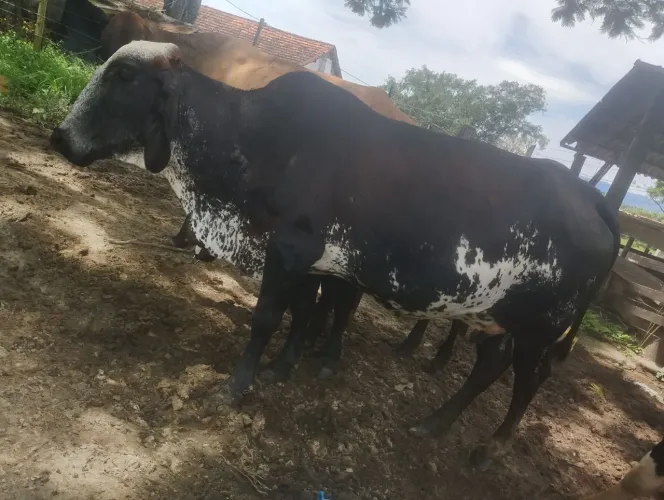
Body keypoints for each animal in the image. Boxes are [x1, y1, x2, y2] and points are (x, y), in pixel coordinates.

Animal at [50, 41, 621, 469]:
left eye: (123, 75)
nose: (59, 136)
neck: (254, 140)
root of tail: (590, 196)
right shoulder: (313, 262)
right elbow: (305, 311)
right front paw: (284, 368)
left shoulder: (289, 249)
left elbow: (268, 316)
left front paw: (239, 384)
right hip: (495, 315)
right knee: (488, 365)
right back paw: (433, 423)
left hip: (541, 327)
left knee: (528, 378)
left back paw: (491, 447)